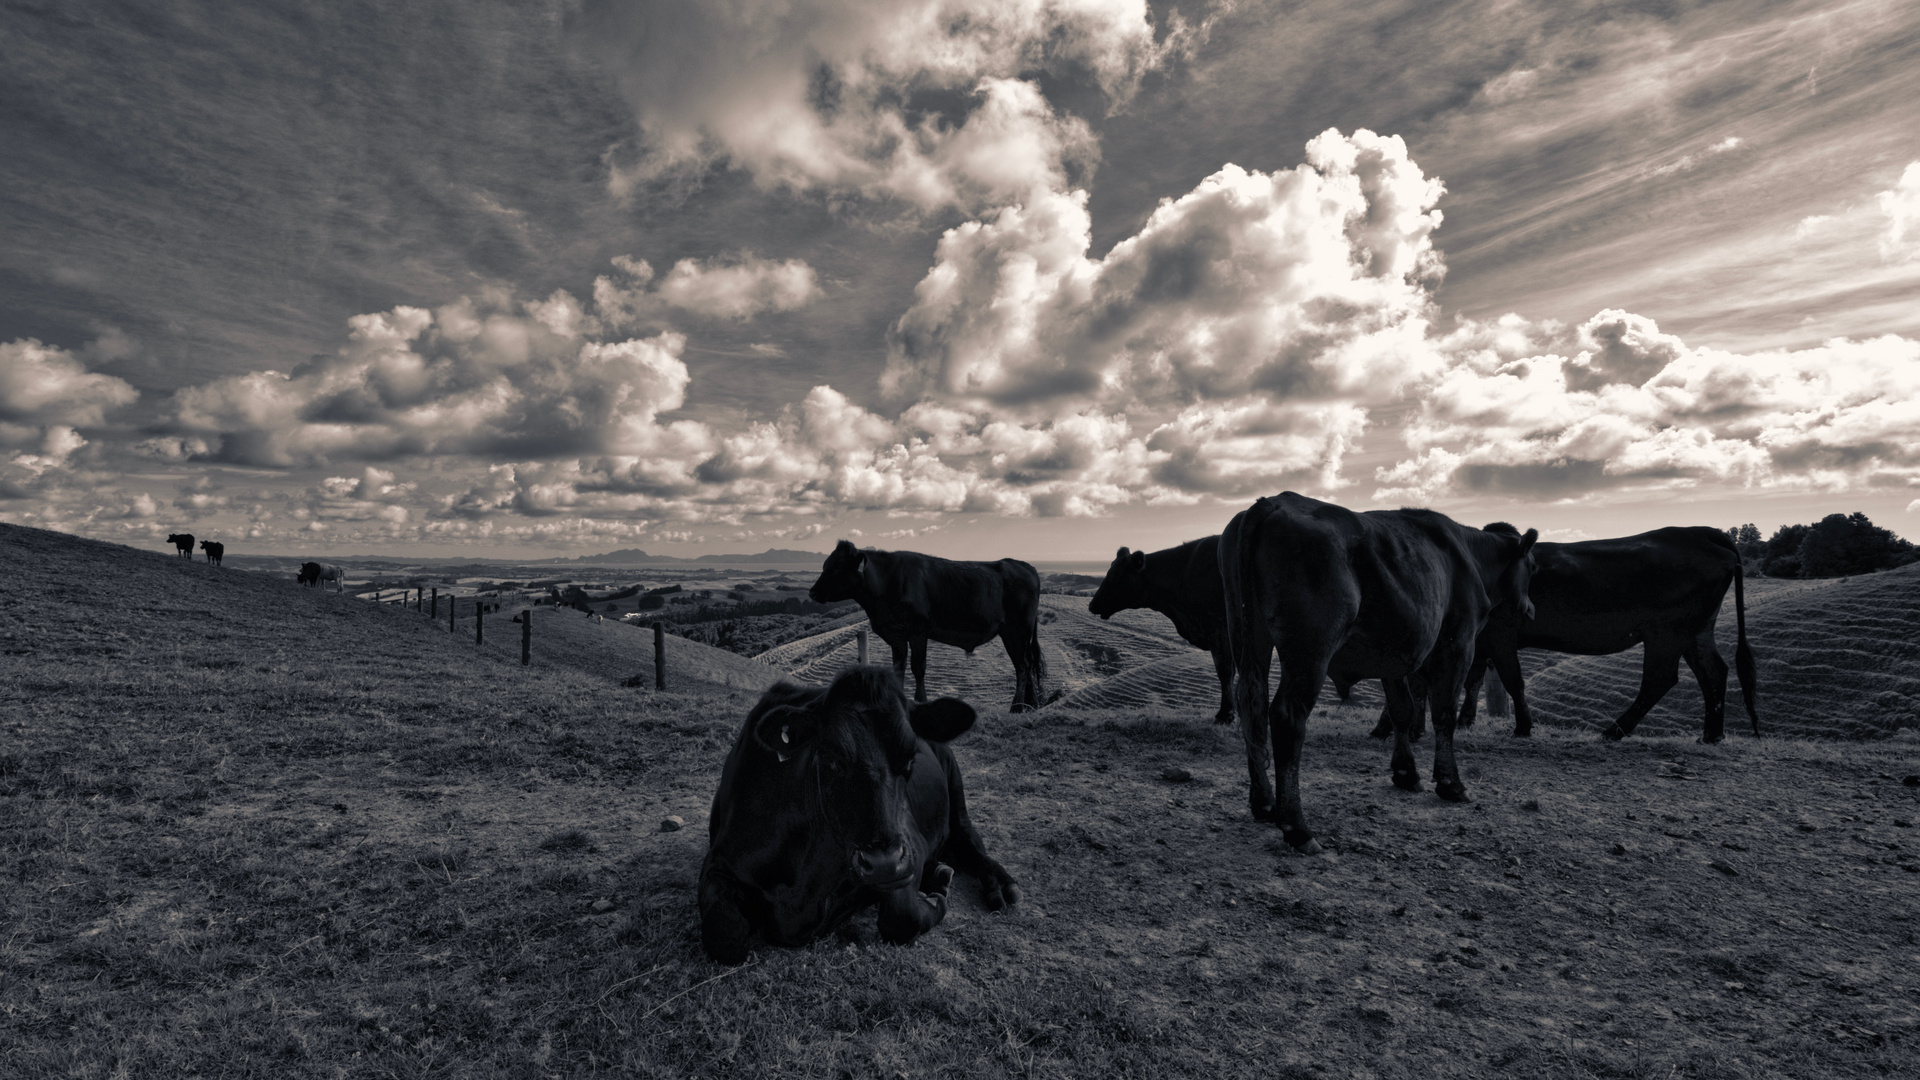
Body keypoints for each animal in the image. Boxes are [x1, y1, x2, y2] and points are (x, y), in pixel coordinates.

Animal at [695, 664, 1021, 957]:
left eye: (910, 758)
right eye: (830, 756)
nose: (882, 863)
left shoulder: (907, 846)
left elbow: (902, 917)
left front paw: (937, 896)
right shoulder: (719, 861)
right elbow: (724, 934)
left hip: (954, 784)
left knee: (969, 840)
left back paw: (1000, 885)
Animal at [1213, 491, 1543, 853]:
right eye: (1533, 567)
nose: (1530, 610)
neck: (1468, 555)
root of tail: (1272, 501)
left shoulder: (1394, 653)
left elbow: (1402, 710)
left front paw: (1405, 773)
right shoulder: (1458, 643)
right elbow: (1444, 713)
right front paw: (1450, 783)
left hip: (1247, 633)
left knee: (1252, 706)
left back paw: (1264, 803)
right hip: (1310, 650)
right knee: (1287, 716)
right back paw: (1296, 826)